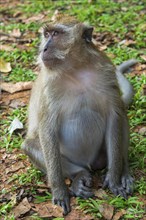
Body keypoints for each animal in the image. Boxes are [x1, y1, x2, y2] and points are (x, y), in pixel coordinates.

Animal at [21, 17, 135, 215]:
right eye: (46, 35)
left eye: (56, 34)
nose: (44, 49)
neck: (76, 69)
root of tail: (90, 163)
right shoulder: (49, 87)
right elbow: (47, 130)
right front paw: (59, 190)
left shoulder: (106, 72)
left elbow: (114, 117)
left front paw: (114, 178)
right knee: (31, 146)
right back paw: (79, 176)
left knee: (122, 116)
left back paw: (124, 171)